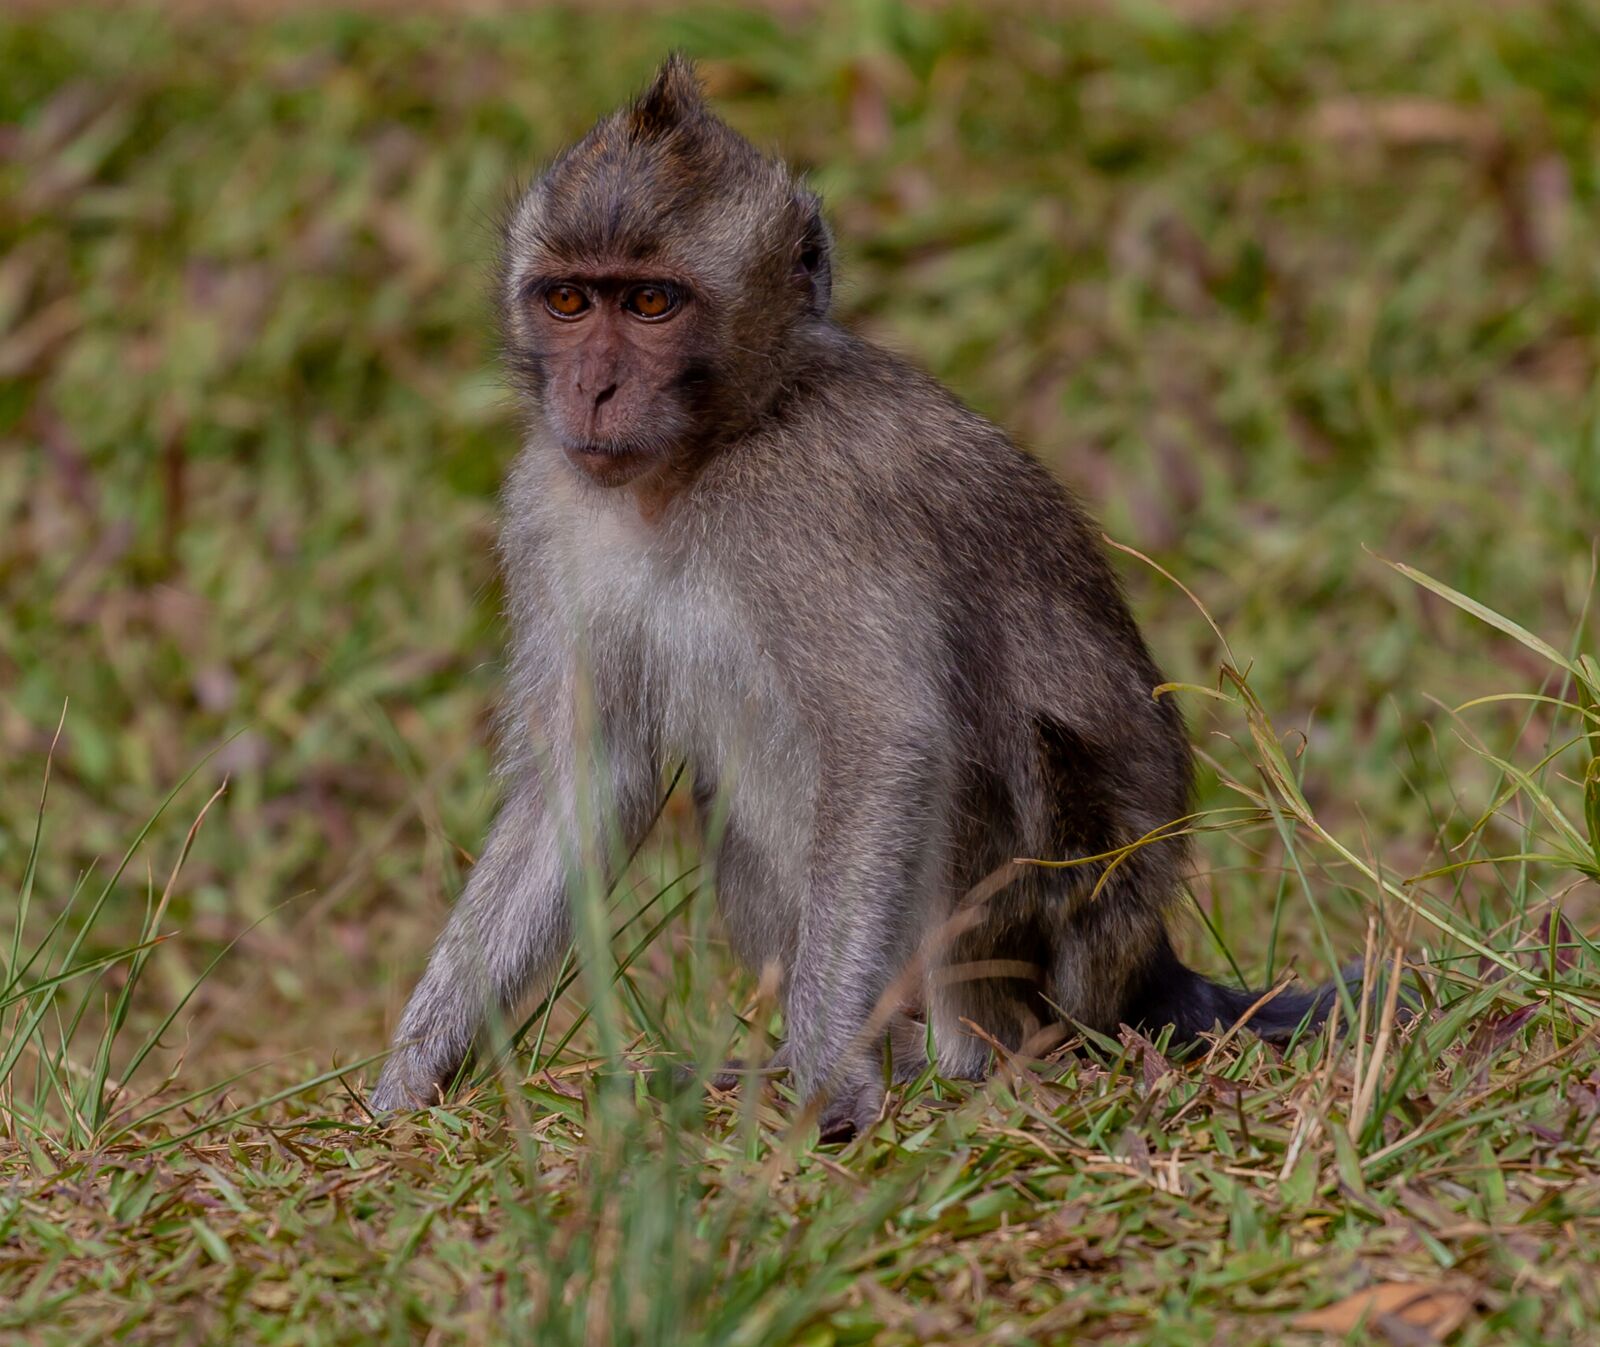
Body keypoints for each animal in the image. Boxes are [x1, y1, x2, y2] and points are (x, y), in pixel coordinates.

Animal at [368, 57, 1344, 1139]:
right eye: (572, 301)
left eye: (653, 303)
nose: (593, 390)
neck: (708, 454)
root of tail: (1146, 967)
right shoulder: (548, 503)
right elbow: (583, 782)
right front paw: (414, 1070)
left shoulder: (819, 509)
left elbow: (886, 744)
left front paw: (830, 1074)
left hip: (1073, 938)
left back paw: (954, 1061)